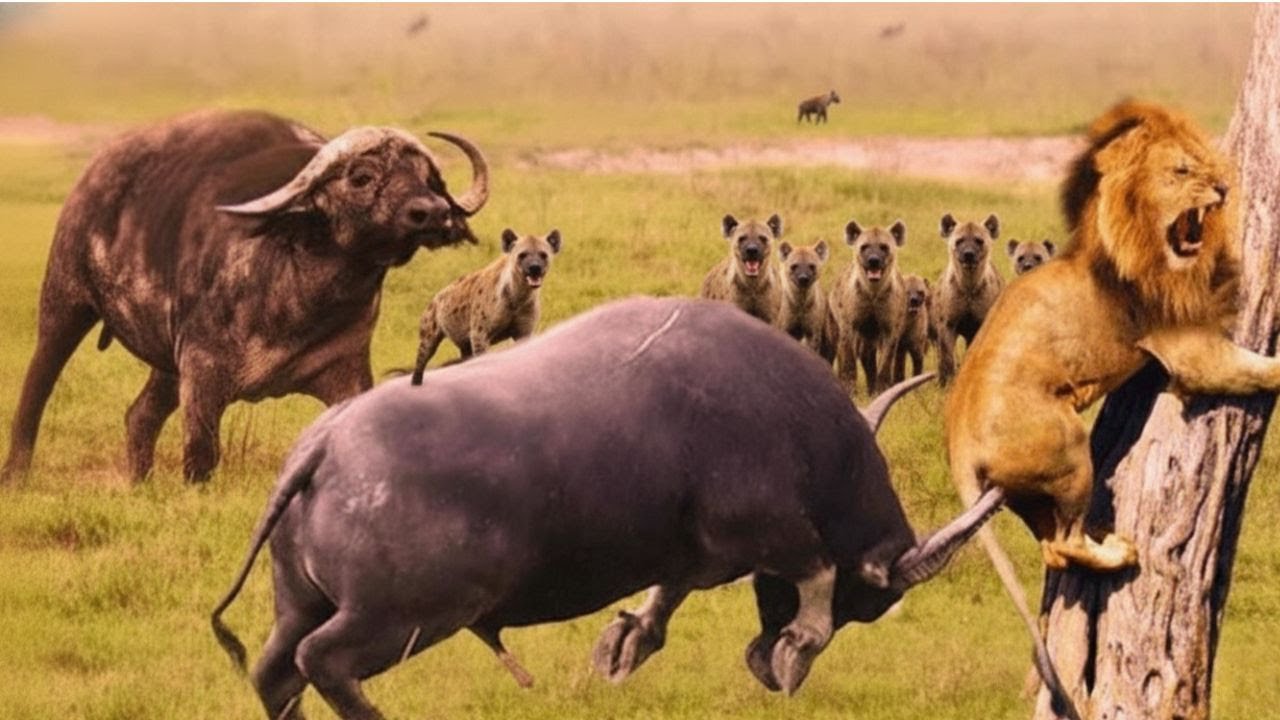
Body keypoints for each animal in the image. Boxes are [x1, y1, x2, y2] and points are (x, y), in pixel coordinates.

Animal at [944, 100, 1278, 713]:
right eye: (1181, 171)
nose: (1223, 187)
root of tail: (954, 438)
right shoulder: (1190, 347)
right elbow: (1254, 368)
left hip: (1025, 494)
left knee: (1053, 550)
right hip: (1070, 448)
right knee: (1068, 543)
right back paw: (1120, 551)